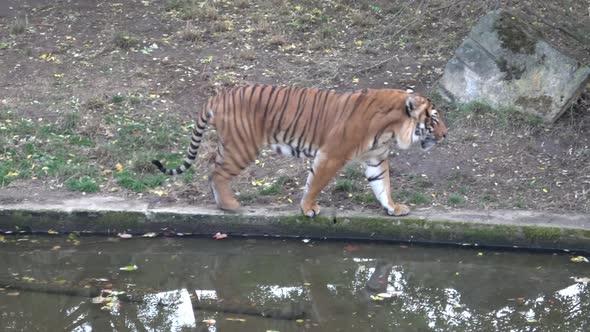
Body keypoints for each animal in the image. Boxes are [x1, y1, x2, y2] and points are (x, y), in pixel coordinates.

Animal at [153, 84, 448, 217]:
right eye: (434, 119)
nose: (446, 134)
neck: (391, 131)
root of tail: (219, 95)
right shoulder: (332, 155)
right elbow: (316, 183)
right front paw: (308, 208)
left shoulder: (376, 158)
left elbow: (382, 185)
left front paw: (393, 208)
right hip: (242, 147)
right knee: (217, 173)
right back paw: (230, 205)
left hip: (230, 145)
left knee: (211, 167)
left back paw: (221, 203)